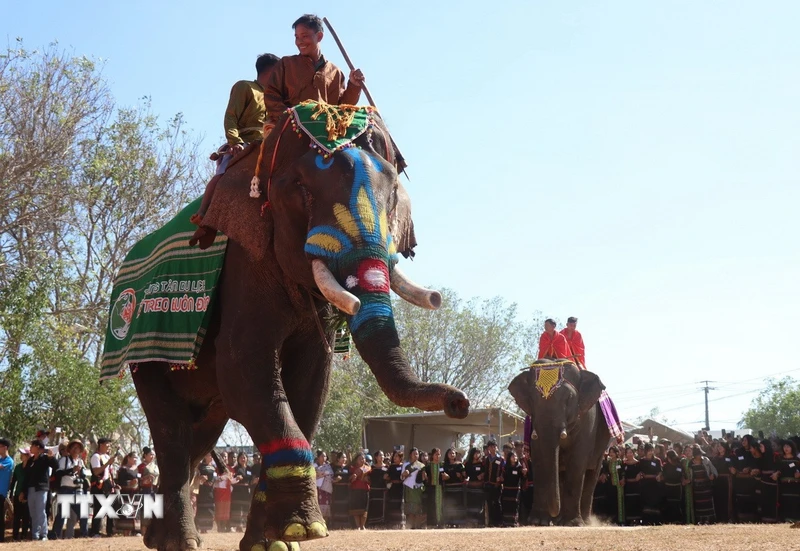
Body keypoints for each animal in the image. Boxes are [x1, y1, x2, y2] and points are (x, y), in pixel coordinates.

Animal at [130, 109, 468, 551]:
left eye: (393, 193)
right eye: (302, 190)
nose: (460, 404)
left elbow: (311, 382)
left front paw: (275, 541)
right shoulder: (245, 267)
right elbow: (245, 371)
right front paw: (306, 530)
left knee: (199, 437)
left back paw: (158, 536)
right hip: (142, 350)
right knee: (173, 432)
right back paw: (180, 542)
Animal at [510, 360, 608, 528]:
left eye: (569, 398)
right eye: (532, 399)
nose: (553, 514)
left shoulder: (588, 420)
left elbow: (577, 460)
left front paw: (573, 523)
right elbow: (539, 458)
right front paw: (538, 521)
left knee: (592, 473)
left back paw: (585, 521)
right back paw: (559, 521)